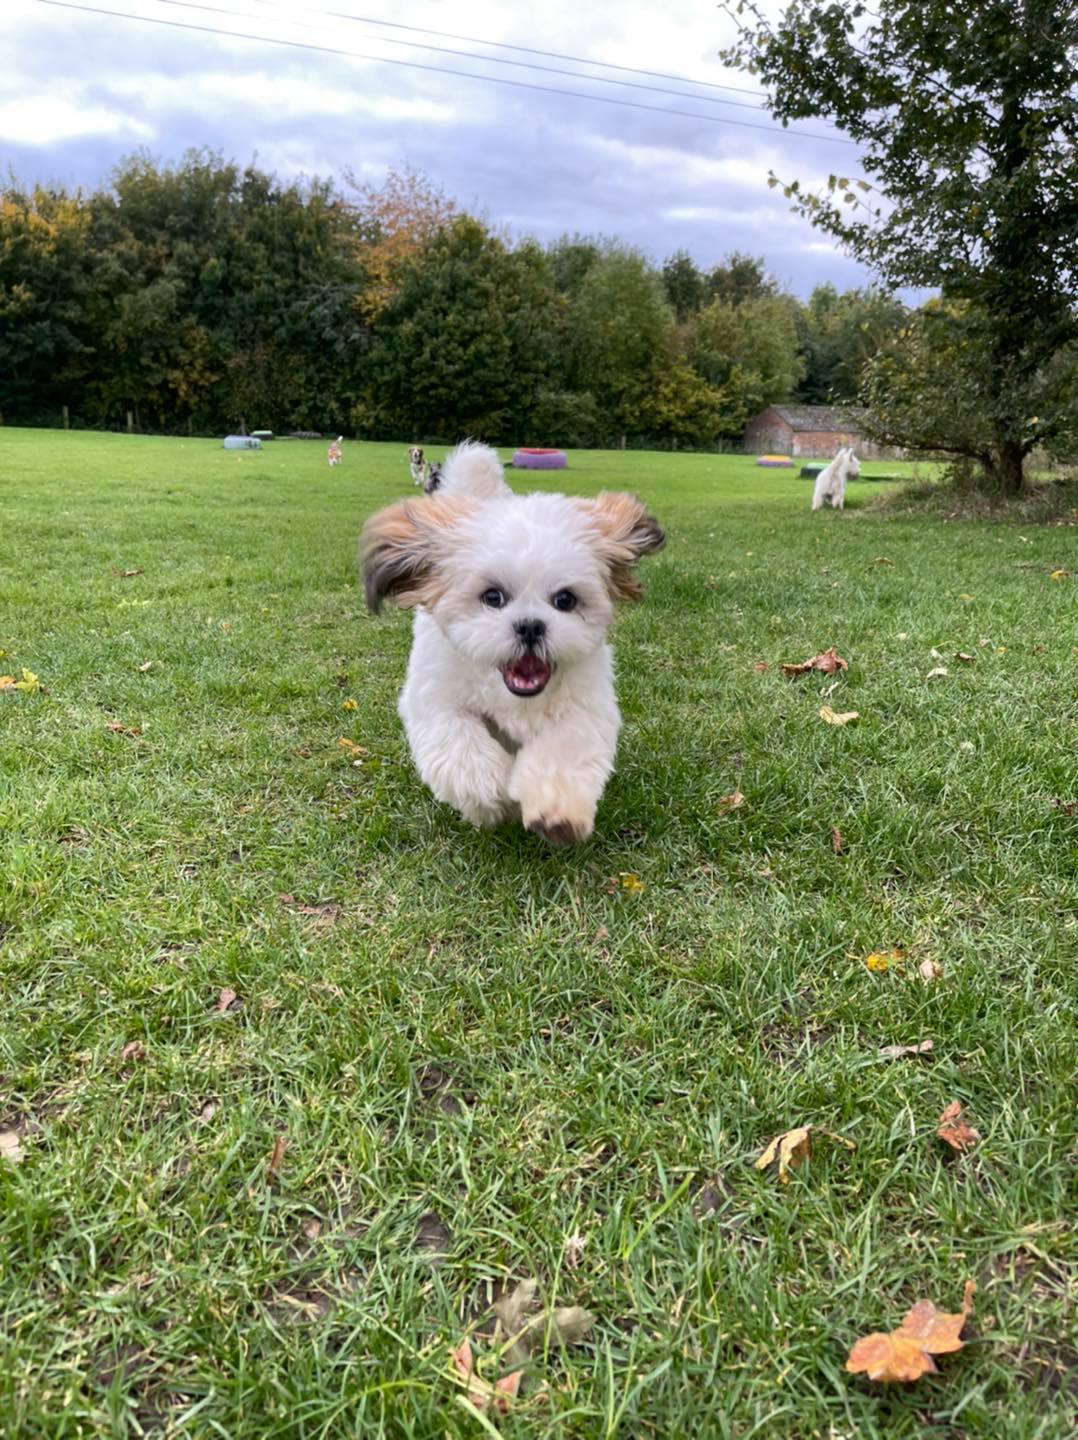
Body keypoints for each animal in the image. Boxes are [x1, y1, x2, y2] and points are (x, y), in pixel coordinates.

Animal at [361, 437, 664, 840]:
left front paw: (556, 811)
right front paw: (489, 793)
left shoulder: (585, 705)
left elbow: (566, 749)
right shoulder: (436, 698)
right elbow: (458, 742)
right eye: (493, 597)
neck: (513, 697)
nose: (531, 626)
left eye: (565, 600)